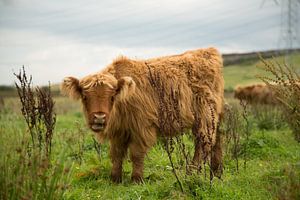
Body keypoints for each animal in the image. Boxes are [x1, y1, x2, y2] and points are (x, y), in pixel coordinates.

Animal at [61, 47, 224, 183]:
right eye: (85, 97)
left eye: (112, 97)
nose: (99, 118)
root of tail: (207, 51)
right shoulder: (118, 131)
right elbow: (116, 154)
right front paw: (115, 179)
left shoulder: (142, 127)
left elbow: (136, 153)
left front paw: (136, 179)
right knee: (216, 140)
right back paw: (216, 173)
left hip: (205, 115)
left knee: (203, 143)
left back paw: (191, 173)